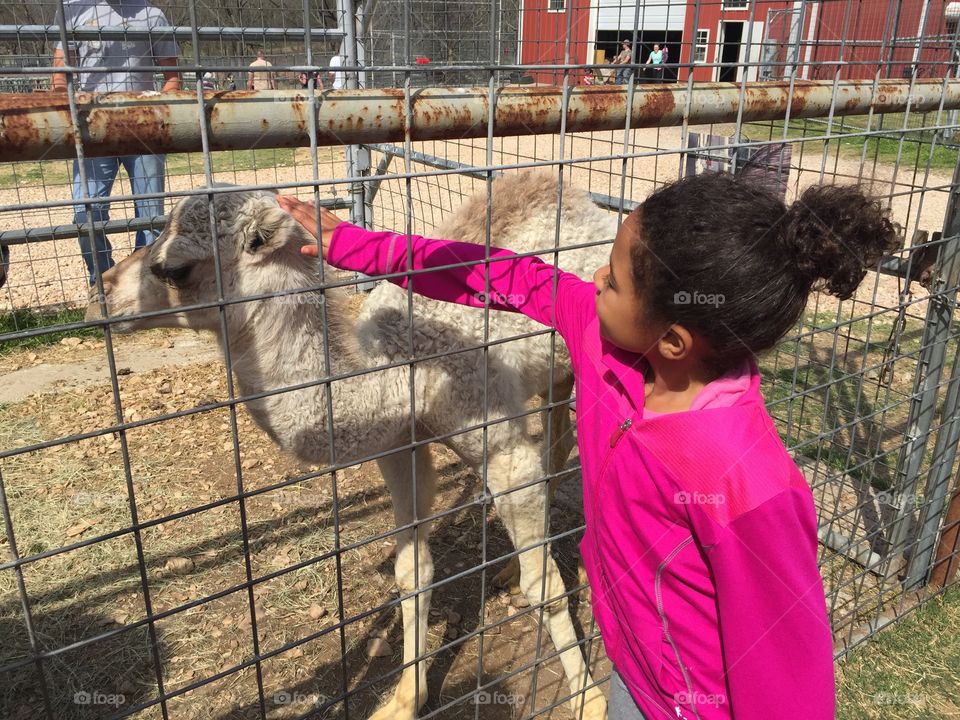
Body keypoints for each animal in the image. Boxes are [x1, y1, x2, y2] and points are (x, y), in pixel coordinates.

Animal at [85, 173, 616, 720]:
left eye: (173, 267)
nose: (97, 295)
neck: (397, 373)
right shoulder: (400, 447)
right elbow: (412, 573)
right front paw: (403, 700)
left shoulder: (494, 435)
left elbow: (545, 585)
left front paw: (587, 698)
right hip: (553, 372)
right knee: (559, 438)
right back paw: (510, 567)